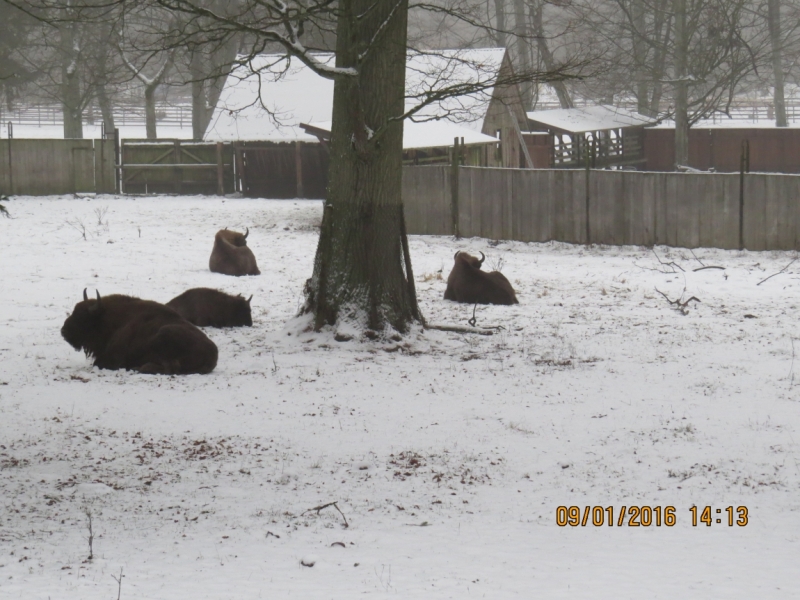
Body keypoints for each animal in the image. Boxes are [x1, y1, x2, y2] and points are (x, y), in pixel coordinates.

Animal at [61, 290, 219, 376]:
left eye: (83, 318)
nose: (63, 331)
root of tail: (213, 353)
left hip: (164, 334)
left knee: (171, 368)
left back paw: (138, 368)